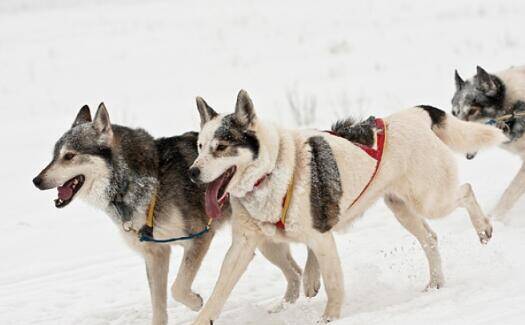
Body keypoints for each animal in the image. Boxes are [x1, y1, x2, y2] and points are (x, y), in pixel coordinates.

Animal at [186, 89, 506, 324]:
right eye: (200, 146)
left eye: (221, 147)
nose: (192, 172)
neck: (272, 172)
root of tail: (415, 114)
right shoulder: (243, 245)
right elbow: (218, 292)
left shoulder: (321, 238)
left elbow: (333, 284)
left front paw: (329, 318)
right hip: (401, 208)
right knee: (430, 238)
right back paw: (435, 284)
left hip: (430, 200)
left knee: (466, 191)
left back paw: (484, 227)